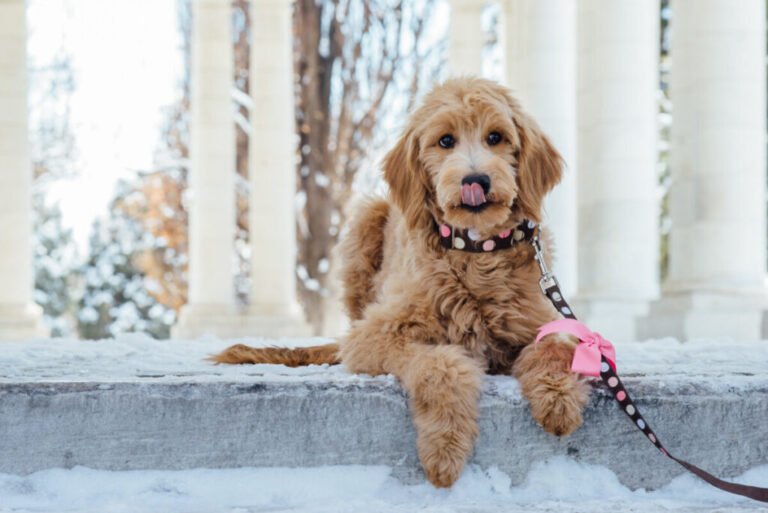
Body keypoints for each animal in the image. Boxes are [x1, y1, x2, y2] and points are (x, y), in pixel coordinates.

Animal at [214, 77, 588, 488]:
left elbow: (555, 346)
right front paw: (444, 448)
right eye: (445, 141)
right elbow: (439, 363)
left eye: (496, 136)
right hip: (366, 220)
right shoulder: (375, 334)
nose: (476, 180)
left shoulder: (542, 316)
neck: (476, 252)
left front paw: (558, 400)